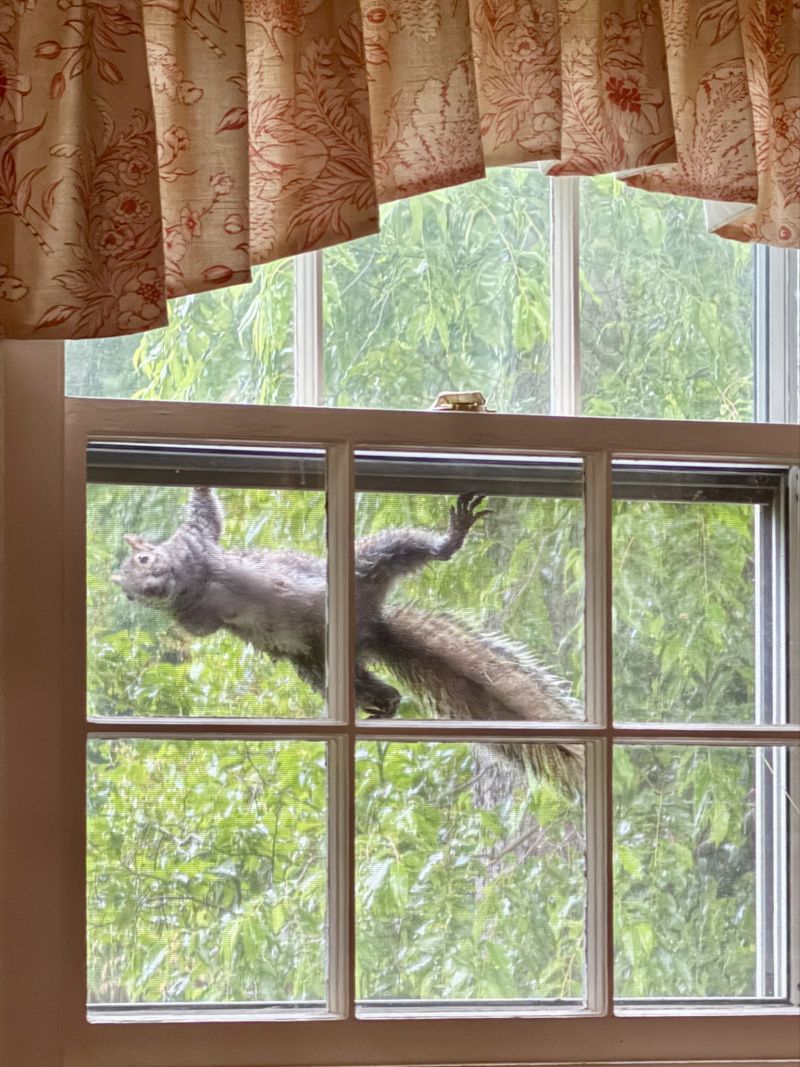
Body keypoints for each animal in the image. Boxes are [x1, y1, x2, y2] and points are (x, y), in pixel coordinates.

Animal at [113, 487, 583, 789]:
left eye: (144, 558)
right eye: (128, 592)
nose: (148, 589)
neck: (191, 585)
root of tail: (372, 627)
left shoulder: (197, 544)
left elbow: (205, 514)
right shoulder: (195, 613)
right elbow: (197, 627)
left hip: (366, 564)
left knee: (411, 548)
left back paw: (451, 538)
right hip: (320, 666)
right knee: (373, 688)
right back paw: (386, 705)